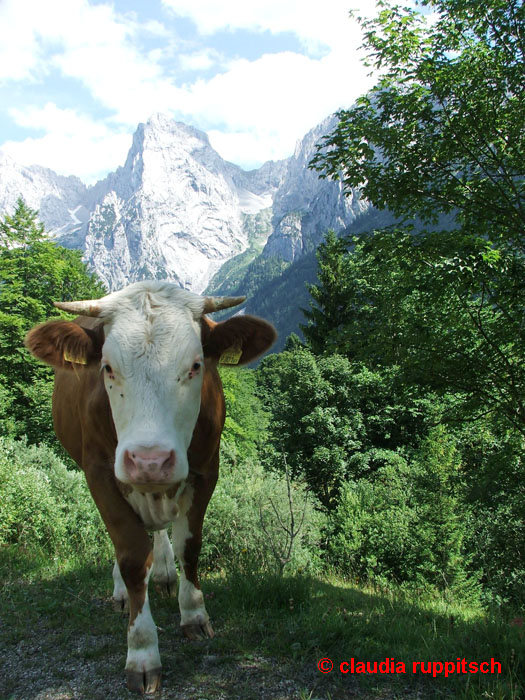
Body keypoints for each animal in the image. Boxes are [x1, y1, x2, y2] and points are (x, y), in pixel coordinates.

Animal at [24, 280, 276, 696]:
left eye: (195, 366)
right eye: (107, 367)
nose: (149, 461)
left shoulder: (206, 469)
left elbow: (190, 547)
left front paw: (194, 614)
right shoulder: (99, 473)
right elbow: (129, 555)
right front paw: (142, 652)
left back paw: (163, 574)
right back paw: (125, 593)